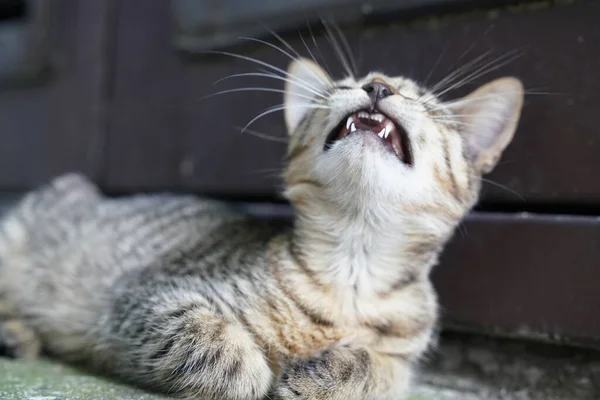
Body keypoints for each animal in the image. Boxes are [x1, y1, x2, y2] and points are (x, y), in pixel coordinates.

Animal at [0, 57, 524, 400]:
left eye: (424, 101)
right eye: (344, 83)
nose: (377, 86)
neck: (352, 269)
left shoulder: (403, 355)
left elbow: (383, 371)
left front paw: (329, 376)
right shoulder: (148, 296)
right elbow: (204, 335)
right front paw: (246, 371)